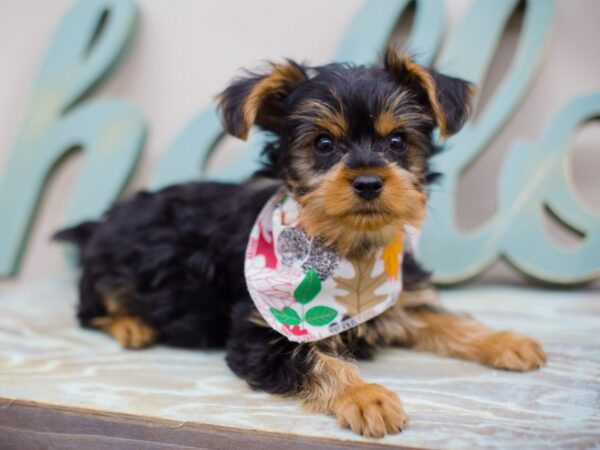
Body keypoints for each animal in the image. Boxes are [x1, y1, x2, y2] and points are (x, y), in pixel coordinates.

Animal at [54, 47, 548, 438]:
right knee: (88, 309)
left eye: (397, 141)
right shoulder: (260, 334)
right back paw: (131, 325)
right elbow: (315, 360)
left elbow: (444, 320)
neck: (347, 248)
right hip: (107, 270)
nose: (369, 182)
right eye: (324, 144)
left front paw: (504, 341)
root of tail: (98, 225)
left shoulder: (399, 296)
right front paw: (365, 396)